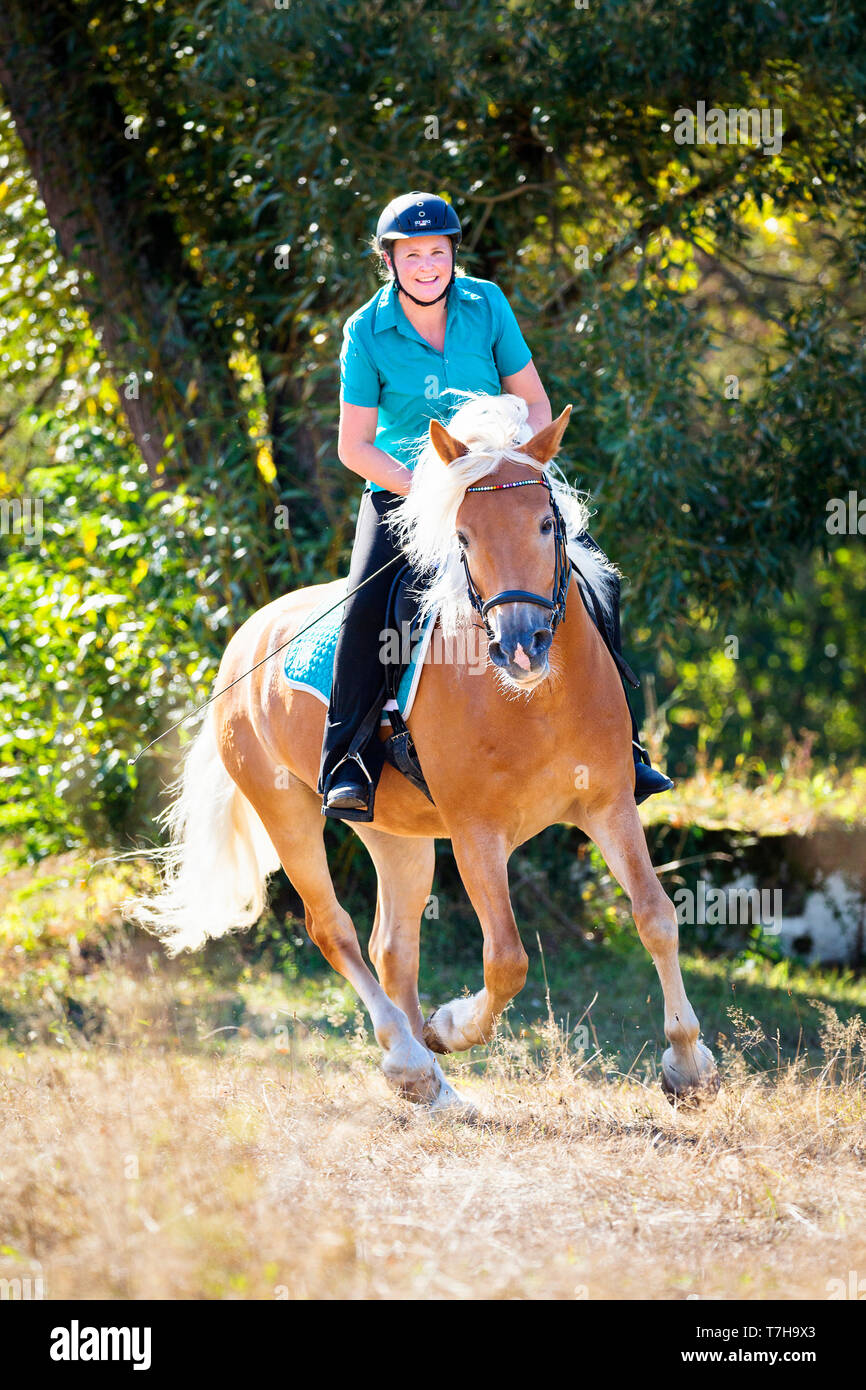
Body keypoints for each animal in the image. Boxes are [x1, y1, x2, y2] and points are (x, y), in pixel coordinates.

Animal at [128, 397, 722, 1112]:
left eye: (548, 523)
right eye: (462, 537)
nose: (521, 646)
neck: (535, 700)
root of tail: (243, 641)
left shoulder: (609, 803)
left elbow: (656, 916)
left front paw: (686, 1064)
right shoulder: (475, 832)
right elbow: (507, 959)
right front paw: (452, 1025)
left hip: (395, 833)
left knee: (392, 944)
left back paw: (435, 1086)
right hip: (286, 811)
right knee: (334, 930)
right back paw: (412, 1058)